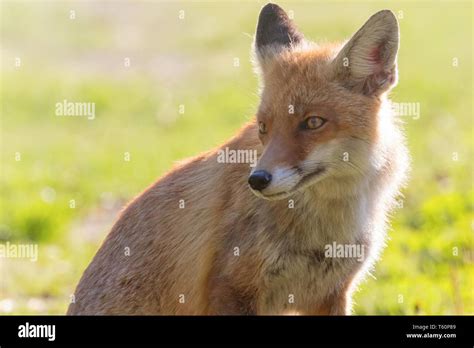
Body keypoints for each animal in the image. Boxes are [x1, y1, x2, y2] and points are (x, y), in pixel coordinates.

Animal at [68, 2, 410, 316]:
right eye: (263, 127)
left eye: (313, 122)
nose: (257, 180)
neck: (324, 230)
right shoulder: (230, 286)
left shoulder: (332, 293)